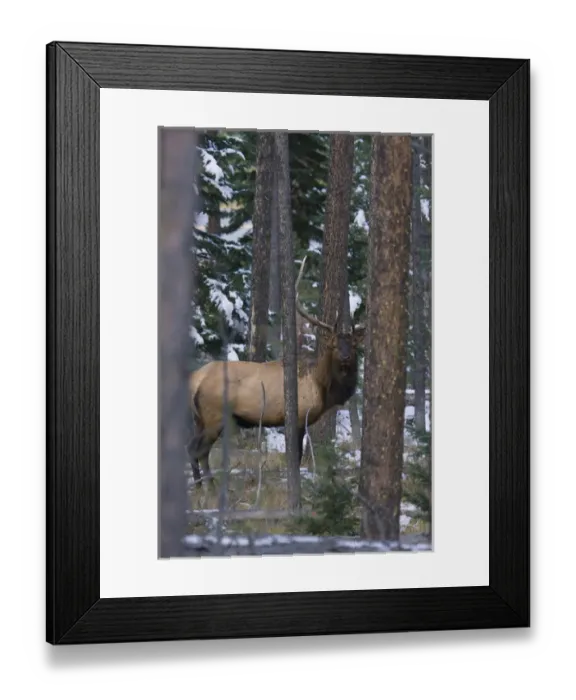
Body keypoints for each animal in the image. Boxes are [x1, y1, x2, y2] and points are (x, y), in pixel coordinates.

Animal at [186, 255, 365, 487]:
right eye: (333, 345)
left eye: (353, 345)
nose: (345, 357)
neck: (322, 385)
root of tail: (196, 379)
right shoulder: (299, 416)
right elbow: (295, 457)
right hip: (214, 414)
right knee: (198, 450)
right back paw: (208, 487)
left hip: (199, 418)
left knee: (193, 449)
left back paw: (201, 486)